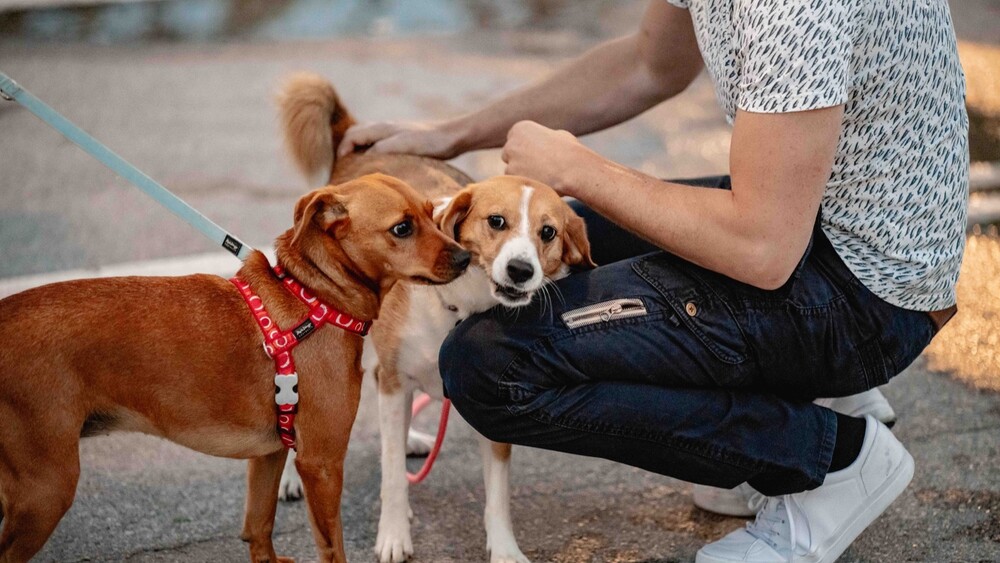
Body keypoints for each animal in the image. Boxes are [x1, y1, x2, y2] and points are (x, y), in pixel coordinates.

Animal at [0, 173, 468, 563]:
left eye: (431, 213)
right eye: (402, 228)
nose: (466, 258)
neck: (314, 299)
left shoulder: (270, 453)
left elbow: (258, 531)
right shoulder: (321, 462)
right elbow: (332, 547)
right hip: (46, 489)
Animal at [278, 76, 592, 563]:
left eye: (548, 232)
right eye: (496, 222)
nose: (521, 270)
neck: (458, 306)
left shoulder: (486, 409)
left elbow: (496, 497)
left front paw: (504, 548)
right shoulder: (393, 380)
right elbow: (391, 478)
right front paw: (392, 535)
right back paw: (295, 476)